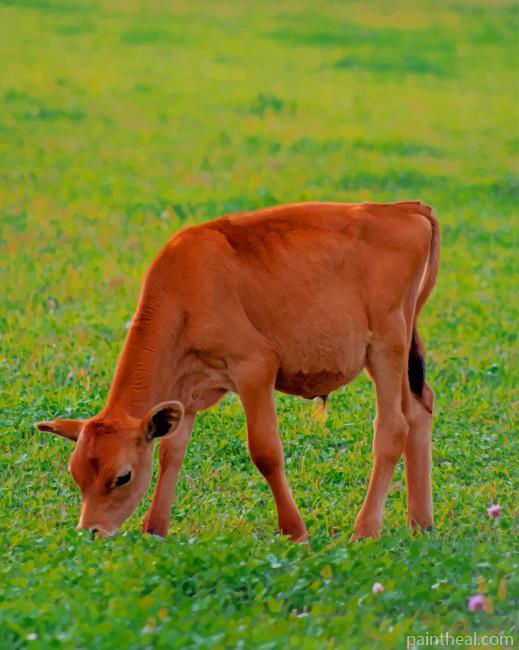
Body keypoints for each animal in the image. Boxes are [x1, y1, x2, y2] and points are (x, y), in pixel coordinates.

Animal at [36, 201, 439, 542]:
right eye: (75, 474)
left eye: (122, 477)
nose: (90, 531)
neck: (186, 286)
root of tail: (403, 208)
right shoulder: (186, 391)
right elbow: (171, 452)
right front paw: (154, 528)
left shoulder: (254, 368)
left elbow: (265, 451)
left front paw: (295, 531)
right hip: (402, 349)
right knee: (418, 410)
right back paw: (420, 522)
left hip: (386, 343)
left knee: (393, 427)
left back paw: (365, 530)